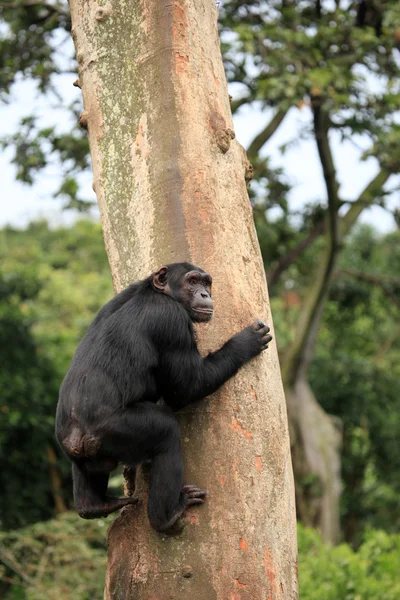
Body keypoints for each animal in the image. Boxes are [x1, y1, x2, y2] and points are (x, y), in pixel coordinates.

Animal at [55, 260, 272, 532]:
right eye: (192, 282)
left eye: (206, 283)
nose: (205, 294)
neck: (160, 294)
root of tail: (76, 436)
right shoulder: (172, 321)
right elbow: (188, 387)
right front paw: (246, 341)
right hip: (115, 431)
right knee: (166, 431)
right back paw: (168, 515)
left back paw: (95, 505)